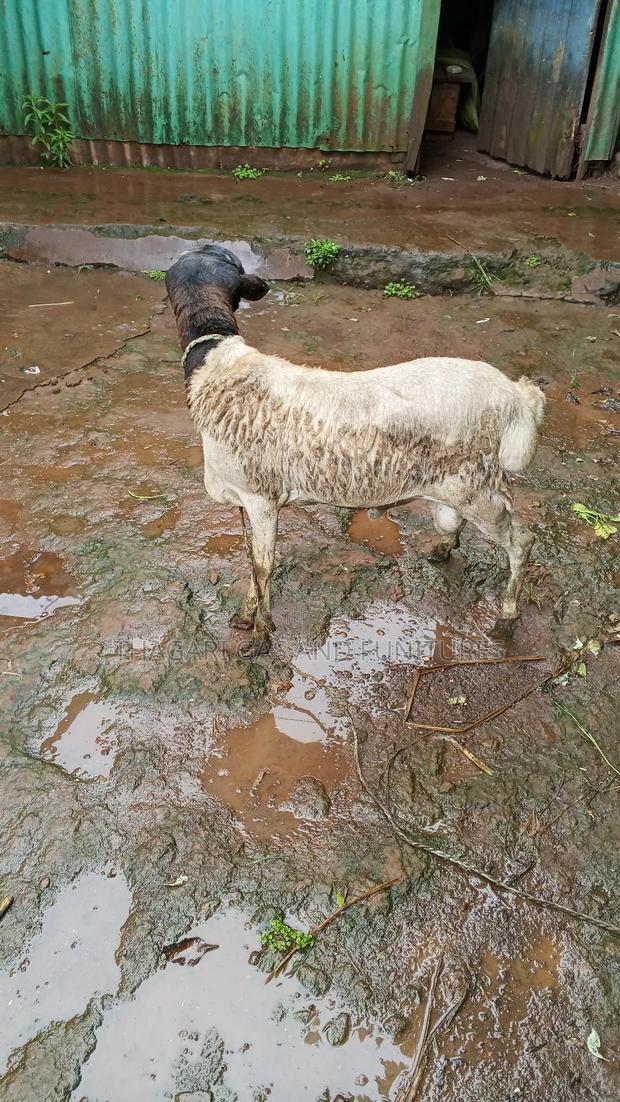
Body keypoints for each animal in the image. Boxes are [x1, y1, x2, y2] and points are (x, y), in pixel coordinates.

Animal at [166, 244, 545, 656]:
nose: (264, 284)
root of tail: (517, 396)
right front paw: (246, 615)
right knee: (456, 521)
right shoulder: (243, 497)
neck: (215, 363)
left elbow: (264, 565)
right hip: (462, 483)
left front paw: (261, 637)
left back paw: (506, 618)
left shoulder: (261, 496)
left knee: (522, 541)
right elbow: (251, 558)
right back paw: (445, 548)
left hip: (476, 484)